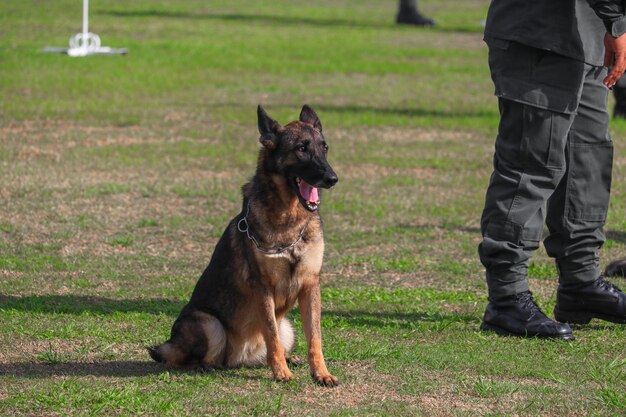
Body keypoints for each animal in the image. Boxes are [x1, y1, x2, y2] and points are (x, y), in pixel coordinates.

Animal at [149, 105, 338, 386]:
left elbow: (315, 338)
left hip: (288, 327)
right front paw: (281, 372)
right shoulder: (263, 288)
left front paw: (321, 373)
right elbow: (270, 334)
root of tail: (239, 358)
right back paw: (204, 366)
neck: (290, 220)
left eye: (324, 147)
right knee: (187, 358)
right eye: (301, 148)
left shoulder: (310, 285)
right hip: (209, 323)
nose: (332, 178)